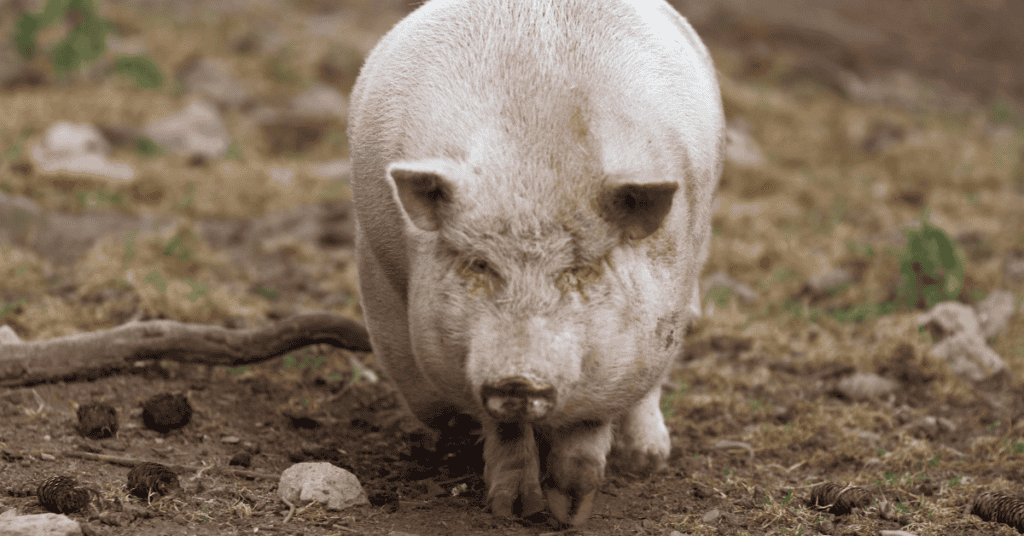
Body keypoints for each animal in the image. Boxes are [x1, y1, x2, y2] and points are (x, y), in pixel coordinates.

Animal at [348, 0, 724, 526]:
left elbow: (590, 429)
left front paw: (571, 513)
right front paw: (513, 510)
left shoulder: (637, 344)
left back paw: (646, 460)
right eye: (480, 265)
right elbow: (501, 432)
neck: (537, 165)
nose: (518, 379)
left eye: (578, 271)